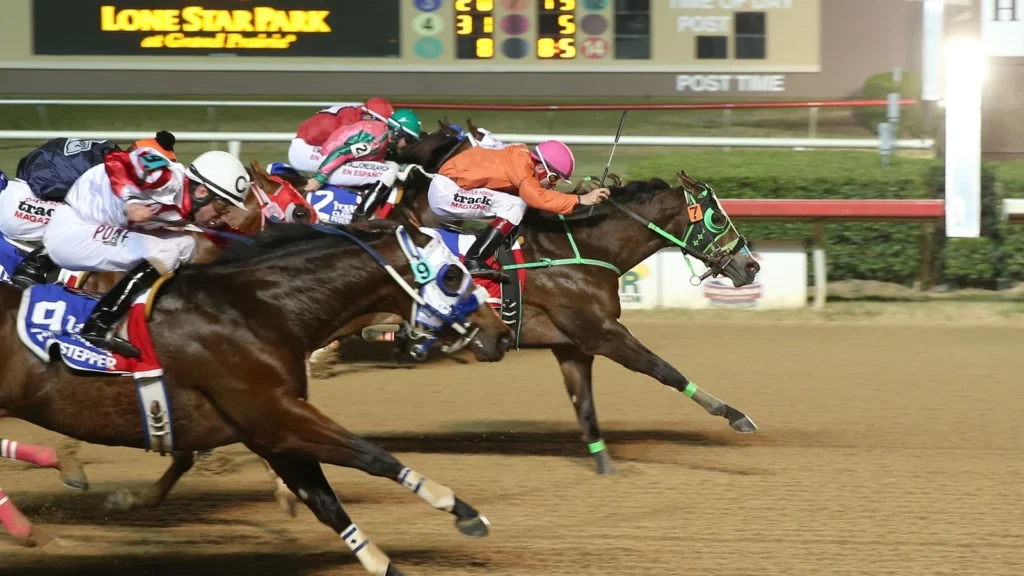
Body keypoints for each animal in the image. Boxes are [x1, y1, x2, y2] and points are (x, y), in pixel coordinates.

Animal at [0, 221, 514, 574]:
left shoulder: (268, 431)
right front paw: (464, 512)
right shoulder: (276, 414)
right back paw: (33, 526)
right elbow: (374, 456)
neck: (259, 308)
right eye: (452, 276)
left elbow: (325, 502)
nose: (502, 334)